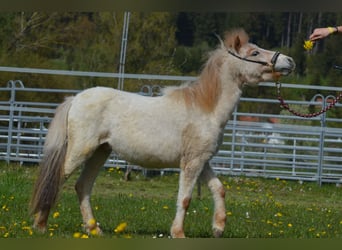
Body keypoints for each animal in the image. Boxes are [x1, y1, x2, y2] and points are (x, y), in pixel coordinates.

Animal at [30, 28, 296, 237]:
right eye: (254, 53)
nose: (289, 61)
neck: (206, 109)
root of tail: (75, 99)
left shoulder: (202, 161)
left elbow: (218, 189)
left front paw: (218, 228)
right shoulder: (191, 163)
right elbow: (185, 199)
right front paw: (178, 233)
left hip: (100, 152)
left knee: (82, 186)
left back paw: (94, 229)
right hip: (81, 150)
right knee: (57, 178)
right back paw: (40, 225)